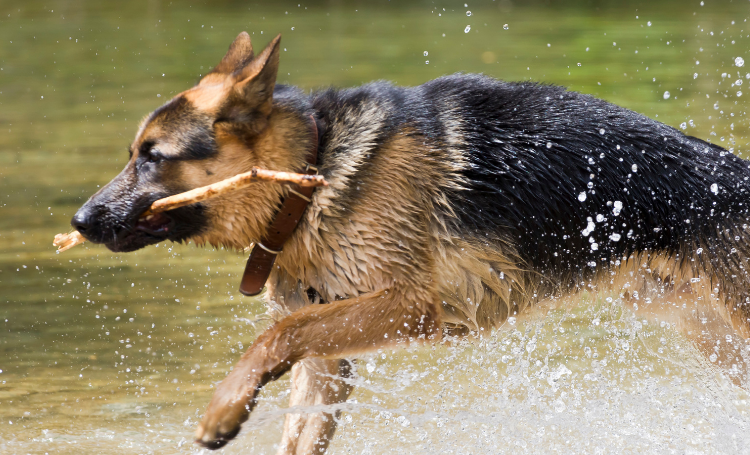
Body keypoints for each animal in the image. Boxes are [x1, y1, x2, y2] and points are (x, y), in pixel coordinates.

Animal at [73, 32, 750, 452]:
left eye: (152, 157)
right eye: (132, 153)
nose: (80, 220)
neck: (316, 172)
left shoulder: (411, 307)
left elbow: (278, 331)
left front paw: (223, 408)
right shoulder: (327, 366)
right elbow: (296, 386)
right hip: (710, 334)